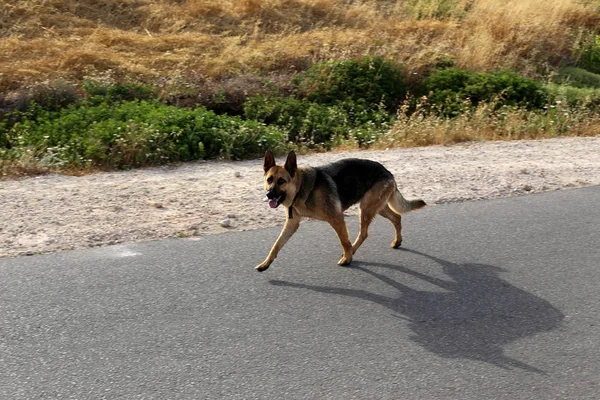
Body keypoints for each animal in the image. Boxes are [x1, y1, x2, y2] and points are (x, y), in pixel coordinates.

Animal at [255, 150, 428, 272]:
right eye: (269, 180)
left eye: (281, 181)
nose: (269, 194)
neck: (300, 187)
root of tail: (387, 171)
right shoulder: (292, 224)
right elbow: (276, 245)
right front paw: (265, 263)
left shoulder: (336, 218)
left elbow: (344, 241)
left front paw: (347, 258)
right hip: (378, 208)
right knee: (397, 217)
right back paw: (397, 241)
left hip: (366, 208)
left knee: (364, 233)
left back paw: (351, 252)